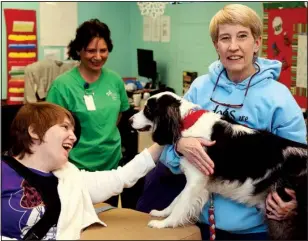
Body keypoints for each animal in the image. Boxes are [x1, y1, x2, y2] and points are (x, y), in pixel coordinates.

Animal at [131, 92, 308, 239]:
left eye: (147, 109)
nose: (129, 120)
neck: (188, 121)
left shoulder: (195, 181)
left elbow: (180, 205)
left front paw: (164, 224)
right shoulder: (197, 183)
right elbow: (177, 200)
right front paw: (162, 213)